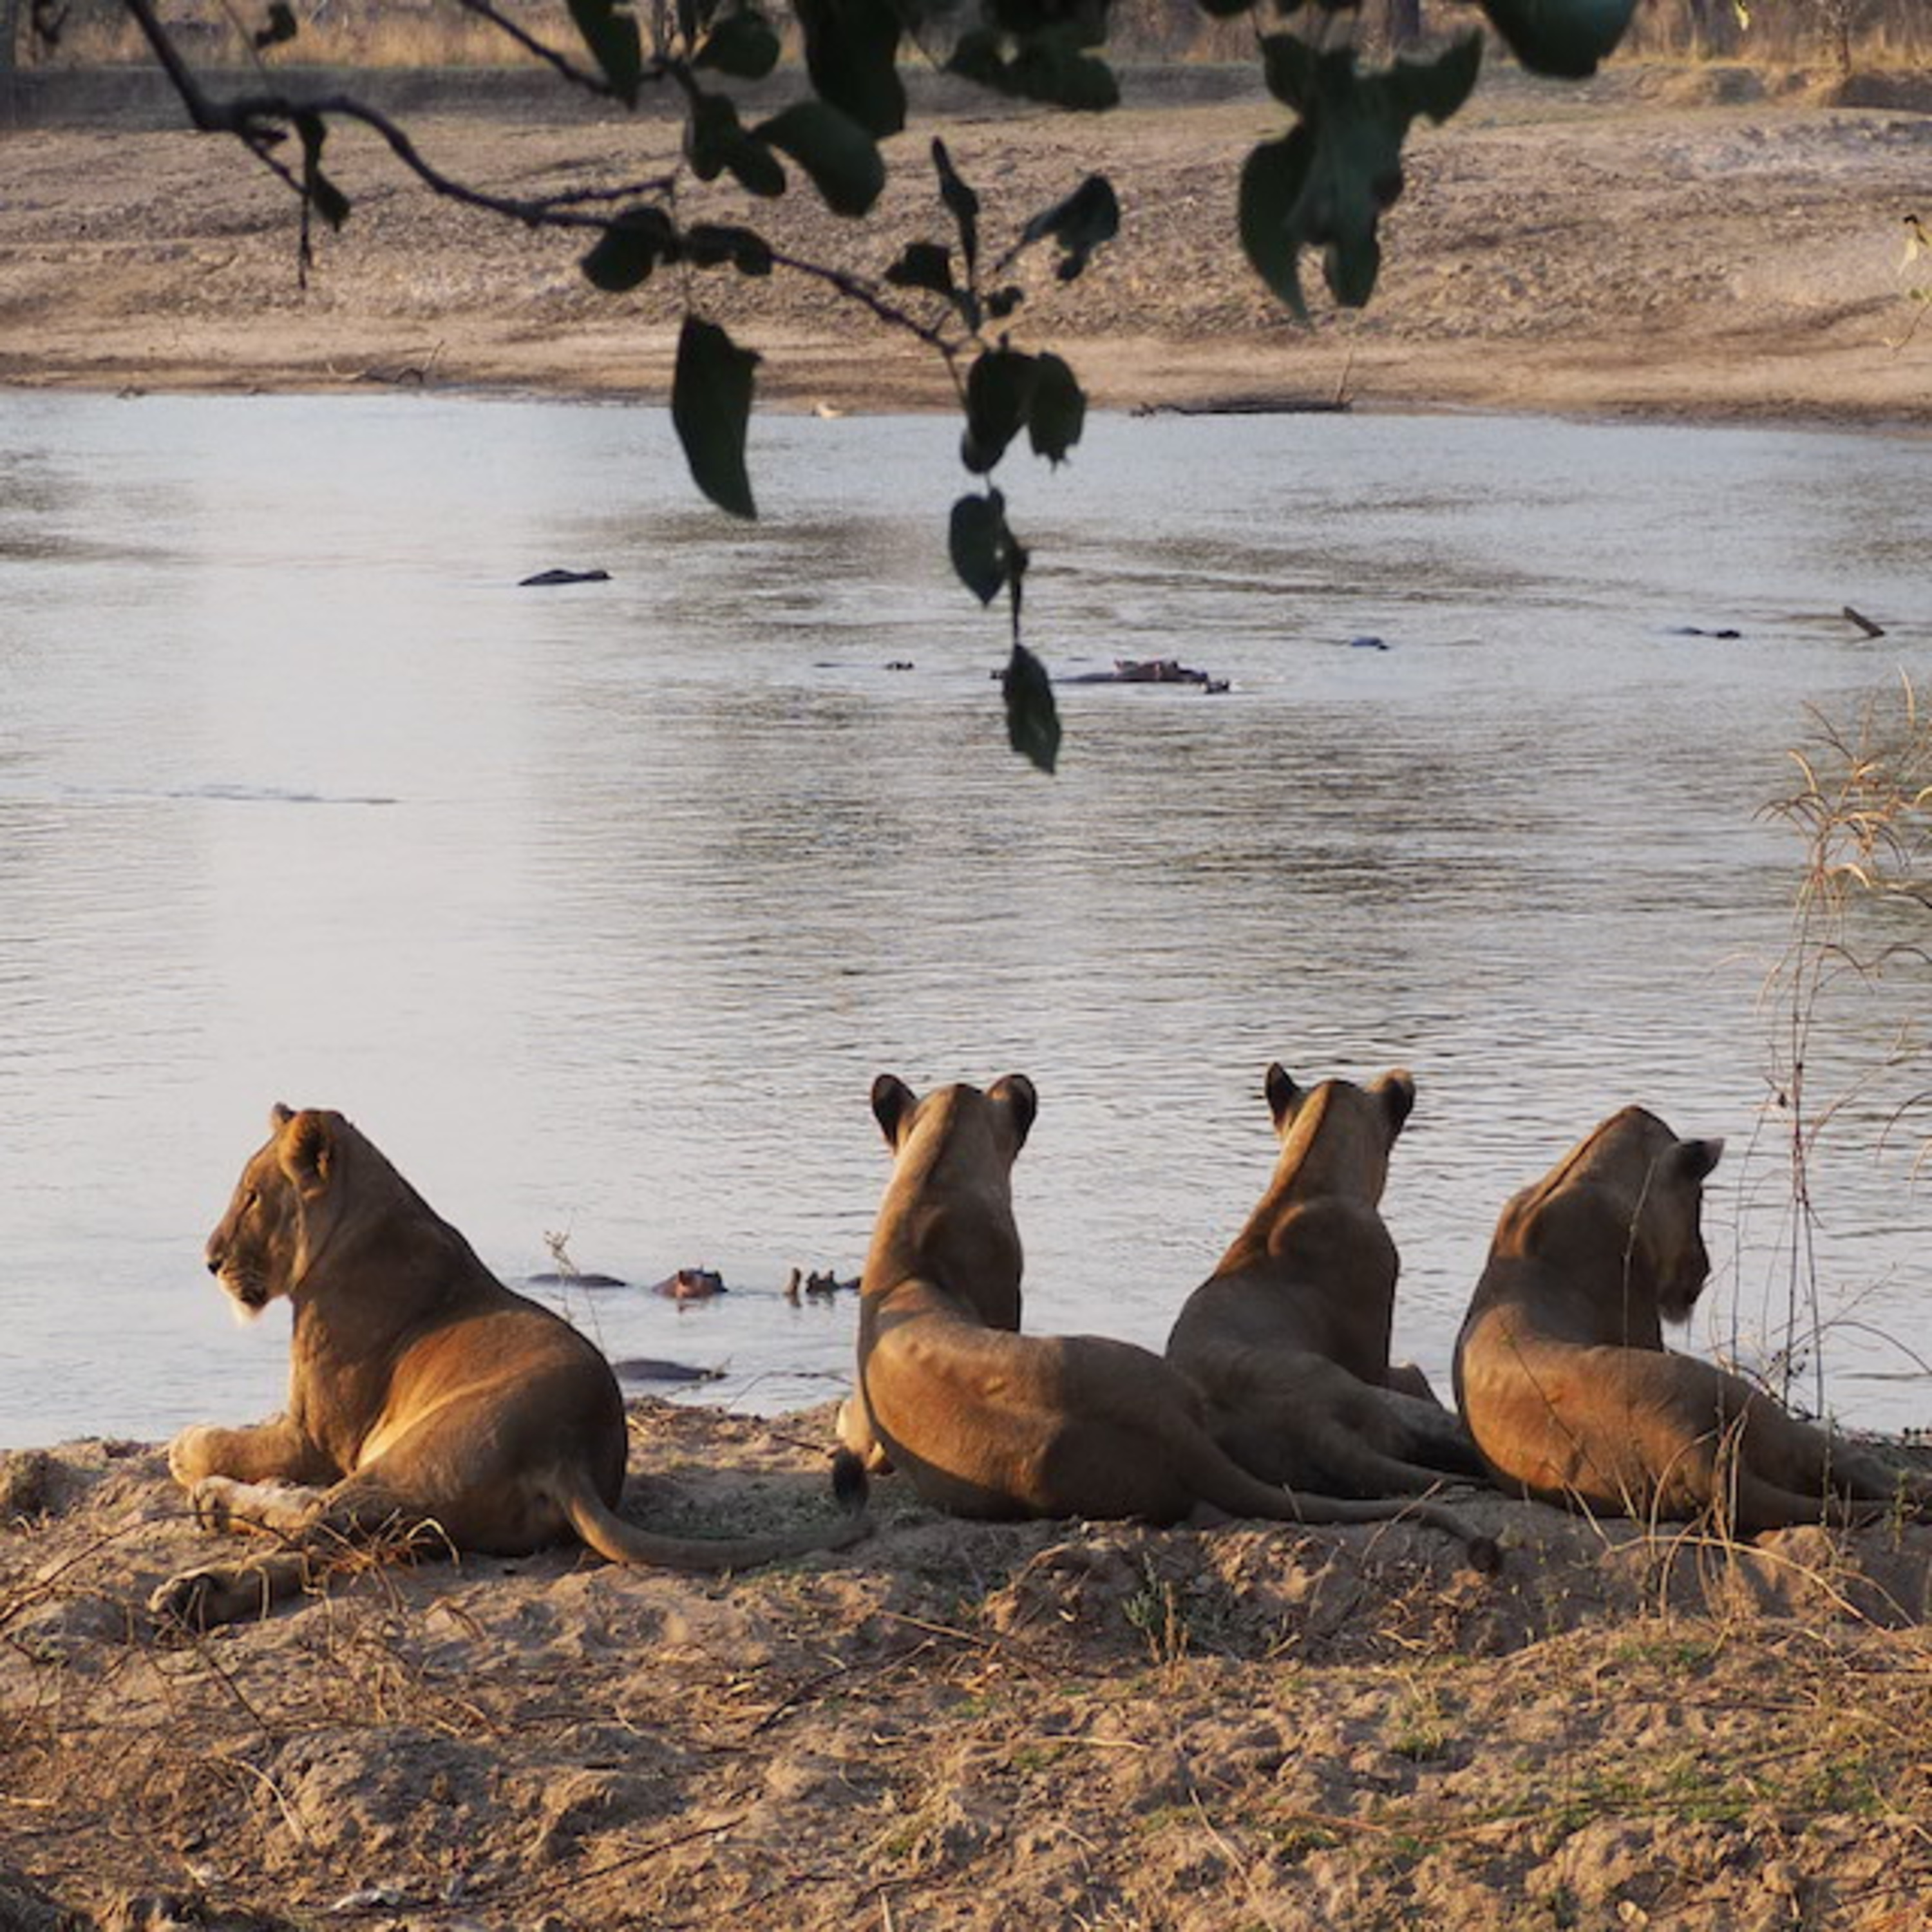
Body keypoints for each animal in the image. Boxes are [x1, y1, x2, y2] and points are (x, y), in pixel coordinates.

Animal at [150, 1105, 867, 1627]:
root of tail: (571, 1449)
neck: (367, 1220)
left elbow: (221, 1442)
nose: (210, 1261)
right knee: (329, 1530)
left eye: (251, 1197)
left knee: (310, 1537)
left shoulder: (318, 1437)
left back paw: (197, 1583)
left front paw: (186, 1448)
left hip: (405, 1459)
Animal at [1454, 1106, 1932, 1533]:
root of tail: (1689, 1454)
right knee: (1855, 1464)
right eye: (1700, 1197)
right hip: (1747, 1402)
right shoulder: (1641, 1318)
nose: (1706, 1267)